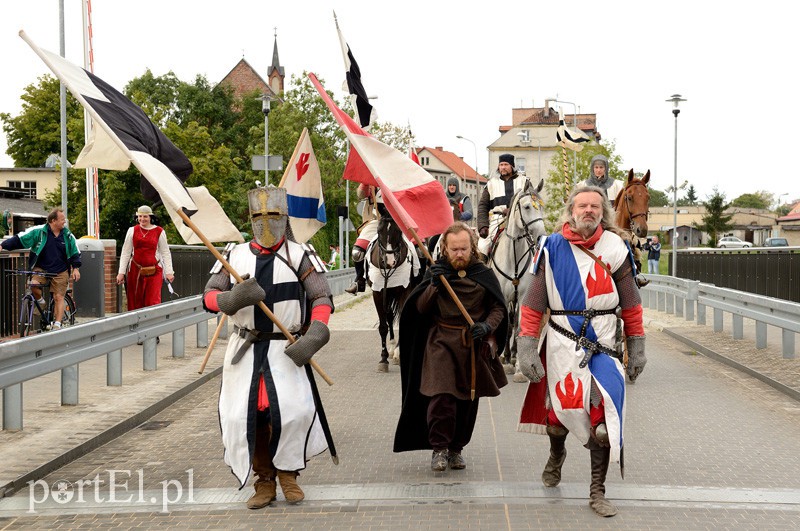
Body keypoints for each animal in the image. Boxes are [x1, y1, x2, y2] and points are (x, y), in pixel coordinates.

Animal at [488, 179, 552, 382]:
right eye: (526, 207)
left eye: (542, 207)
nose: (540, 236)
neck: (513, 258)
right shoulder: (502, 296)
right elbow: (507, 324)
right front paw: (505, 360)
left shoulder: (523, 297)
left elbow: (519, 327)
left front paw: (518, 368)